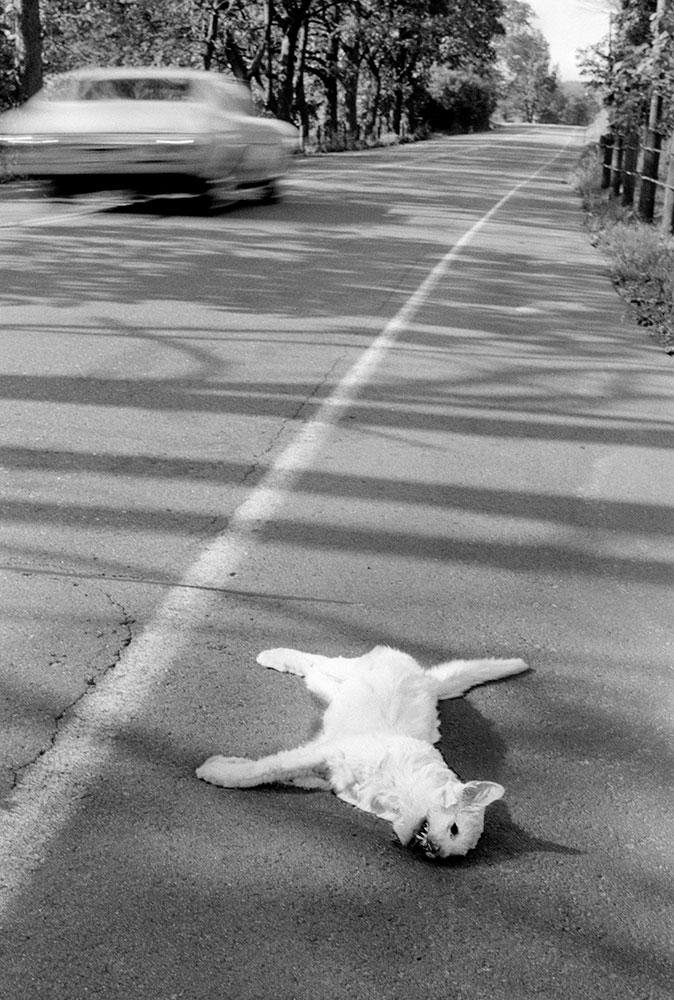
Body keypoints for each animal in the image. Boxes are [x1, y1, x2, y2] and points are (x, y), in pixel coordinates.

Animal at [197, 648, 528, 860]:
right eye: (454, 829)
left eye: (454, 855)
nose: (435, 852)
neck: (399, 792)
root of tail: (427, 679)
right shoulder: (327, 751)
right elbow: (266, 769)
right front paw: (218, 772)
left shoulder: (326, 769)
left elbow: (282, 771)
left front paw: (225, 765)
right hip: (351, 667)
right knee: (318, 660)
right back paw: (273, 655)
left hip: (337, 690)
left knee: (317, 676)